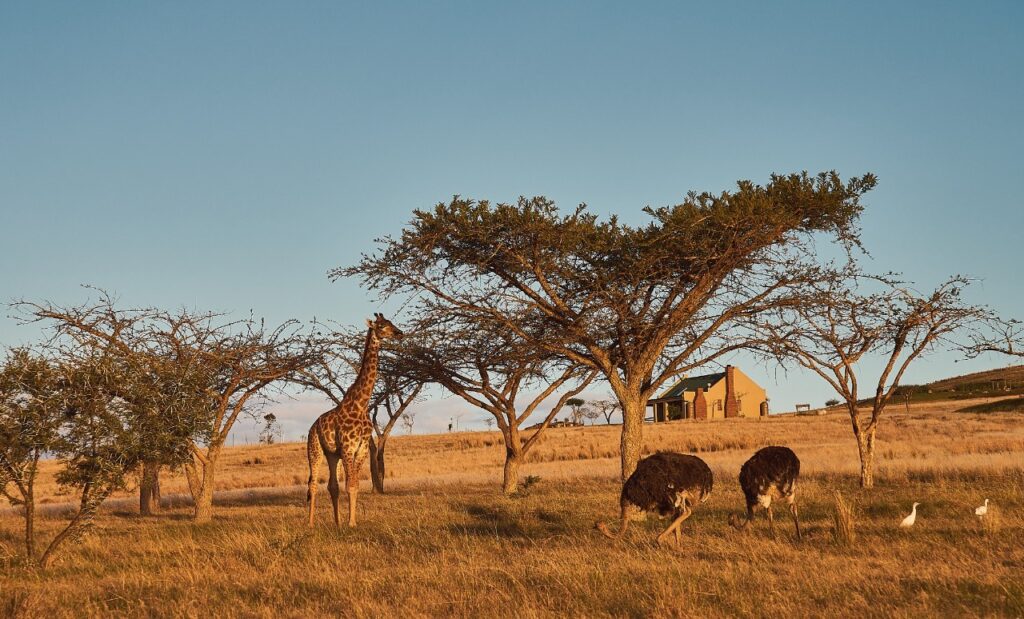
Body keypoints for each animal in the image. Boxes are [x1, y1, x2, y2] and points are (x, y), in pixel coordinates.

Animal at [307, 313, 403, 528]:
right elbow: (350, 485)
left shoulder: (361, 449)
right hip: (315, 450)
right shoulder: (348, 447)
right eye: (382, 326)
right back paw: (310, 523)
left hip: (332, 455)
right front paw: (351, 524)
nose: (399, 333)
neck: (360, 404)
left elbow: (355, 485)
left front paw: (351, 521)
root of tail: (312, 426)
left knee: (332, 485)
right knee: (313, 484)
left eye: (391, 322)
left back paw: (336, 522)